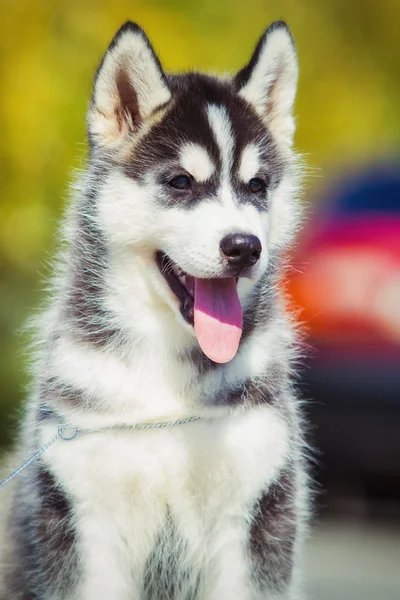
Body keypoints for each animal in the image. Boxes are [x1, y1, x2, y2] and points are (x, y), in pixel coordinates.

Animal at [0, 18, 308, 600]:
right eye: (181, 182)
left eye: (257, 186)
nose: (245, 247)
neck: (167, 390)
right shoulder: (83, 516)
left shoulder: (253, 513)